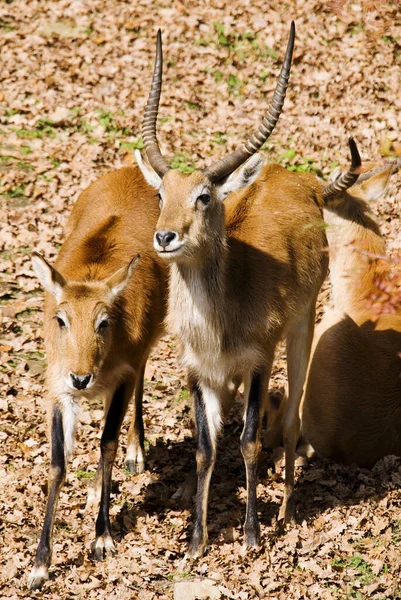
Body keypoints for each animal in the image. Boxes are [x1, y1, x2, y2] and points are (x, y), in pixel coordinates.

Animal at [27, 166, 167, 588]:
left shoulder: (122, 374)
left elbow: (107, 445)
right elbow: (58, 463)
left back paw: (137, 453)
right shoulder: (56, 389)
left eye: (103, 321)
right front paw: (39, 565)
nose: (81, 378)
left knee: (139, 386)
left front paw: (102, 538)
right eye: (61, 319)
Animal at [134, 24, 356, 556]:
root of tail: (299, 180)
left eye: (204, 195)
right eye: (161, 193)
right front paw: (196, 540)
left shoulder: (259, 361)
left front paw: (253, 535)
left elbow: (250, 441)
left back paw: (286, 511)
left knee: (292, 420)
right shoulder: (197, 370)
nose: (164, 237)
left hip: (301, 332)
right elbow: (204, 448)